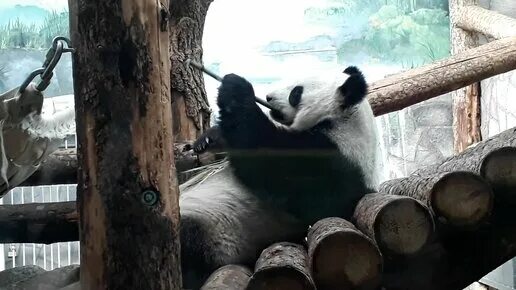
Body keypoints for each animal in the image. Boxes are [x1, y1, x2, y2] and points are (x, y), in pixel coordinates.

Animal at [180, 66, 378, 288]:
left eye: (296, 93)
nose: (268, 97)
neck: (345, 120)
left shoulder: (335, 163)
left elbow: (266, 157)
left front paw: (235, 88)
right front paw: (208, 139)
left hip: (216, 233)